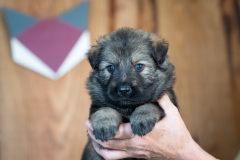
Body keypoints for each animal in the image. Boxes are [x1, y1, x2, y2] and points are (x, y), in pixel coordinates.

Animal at [81, 27, 177, 160]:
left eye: (139, 66)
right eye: (110, 68)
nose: (123, 90)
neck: (128, 108)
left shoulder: (167, 97)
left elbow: (151, 104)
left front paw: (142, 118)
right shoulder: (97, 102)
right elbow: (104, 109)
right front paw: (104, 124)